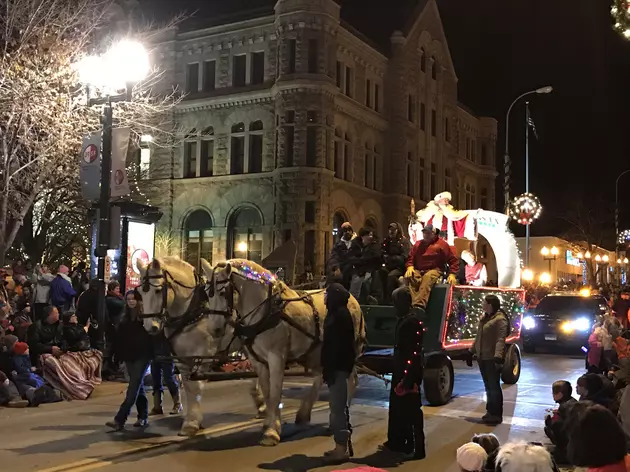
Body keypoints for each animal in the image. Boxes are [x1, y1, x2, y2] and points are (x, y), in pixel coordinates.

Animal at [137, 256, 268, 436]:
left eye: (157, 290)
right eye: (142, 293)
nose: (151, 327)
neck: (191, 312)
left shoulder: (202, 356)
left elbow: (196, 388)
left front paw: (192, 422)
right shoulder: (182, 359)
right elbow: (188, 387)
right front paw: (192, 420)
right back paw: (261, 404)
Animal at [205, 258, 368, 446]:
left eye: (223, 292)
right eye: (207, 293)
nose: (214, 329)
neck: (266, 310)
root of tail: (354, 301)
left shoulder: (277, 357)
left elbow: (276, 392)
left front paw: (271, 433)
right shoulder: (258, 361)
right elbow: (267, 393)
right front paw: (269, 423)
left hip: (346, 352)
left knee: (351, 381)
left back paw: (338, 422)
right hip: (318, 353)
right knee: (320, 377)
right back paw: (304, 413)